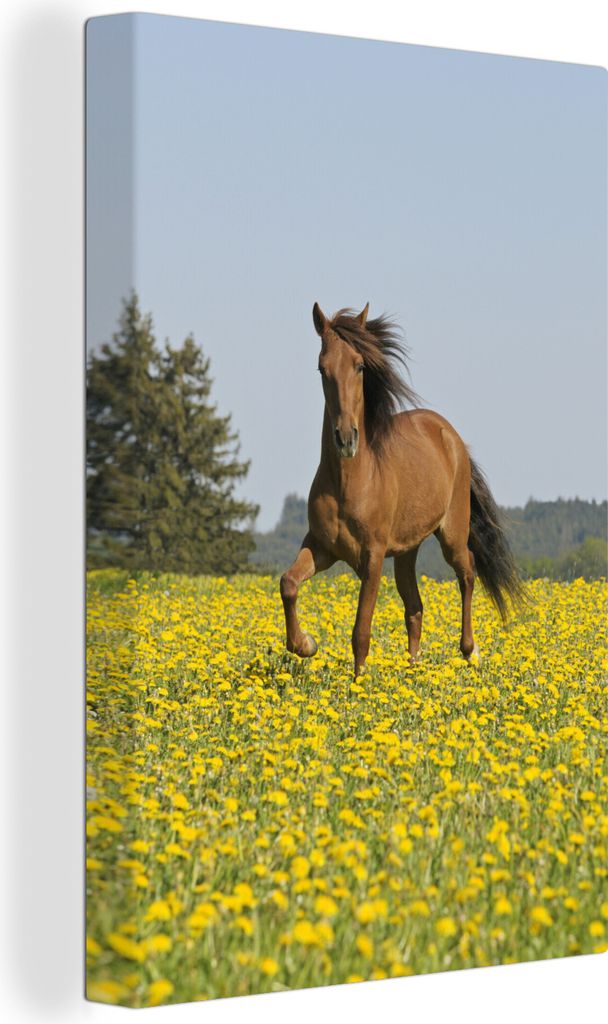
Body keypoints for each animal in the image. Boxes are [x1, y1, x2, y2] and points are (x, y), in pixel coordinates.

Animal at [280, 302, 524, 679]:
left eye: (360, 366)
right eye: (322, 368)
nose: (345, 439)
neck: (350, 482)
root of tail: (451, 436)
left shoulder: (373, 556)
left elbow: (361, 631)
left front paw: (358, 683)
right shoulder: (321, 547)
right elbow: (288, 584)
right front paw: (306, 644)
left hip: (451, 535)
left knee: (467, 572)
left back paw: (470, 651)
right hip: (408, 550)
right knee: (415, 606)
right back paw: (413, 669)